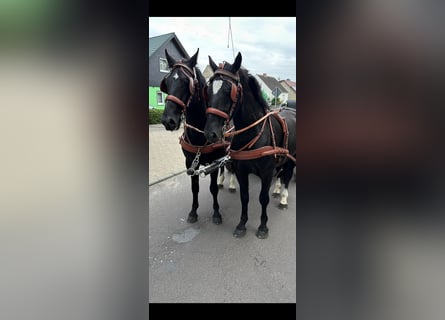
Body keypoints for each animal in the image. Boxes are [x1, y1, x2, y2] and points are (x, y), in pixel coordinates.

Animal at [160, 49, 227, 225]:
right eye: (167, 82)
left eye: (186, 82)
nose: (168, 120)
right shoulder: (190, 161)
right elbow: (194, 188)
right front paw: (193, 211)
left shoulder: (213, 162)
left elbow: (212, 188)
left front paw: (216, 213)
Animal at [204, 52, 294, 238]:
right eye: (208, 90)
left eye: (228, 90)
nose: (210, 133)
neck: (254, 132)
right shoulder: (241, 171)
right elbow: (244, 196)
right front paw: (242, 224)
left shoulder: (266, 173)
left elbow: (263, 198)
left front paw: (263, 226)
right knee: (280, 173)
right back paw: (277, 189)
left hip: (291, 159)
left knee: (287, 176)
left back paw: (283, 198)